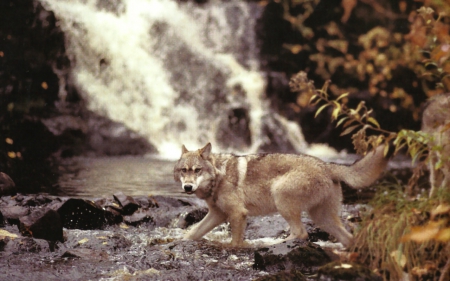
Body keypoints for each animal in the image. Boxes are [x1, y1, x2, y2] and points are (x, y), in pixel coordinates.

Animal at [173, 142, 390, 245]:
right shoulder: (217, 214)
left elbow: (234, 243)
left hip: (281, 199)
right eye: (184, 171)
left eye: (197, 170)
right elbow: (193, 233)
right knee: (348, 239)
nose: (188, 188)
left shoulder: (238, 214)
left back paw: (270, 244)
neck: (219, 175)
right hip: (322, 218)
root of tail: (327, 165)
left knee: (301, 233)